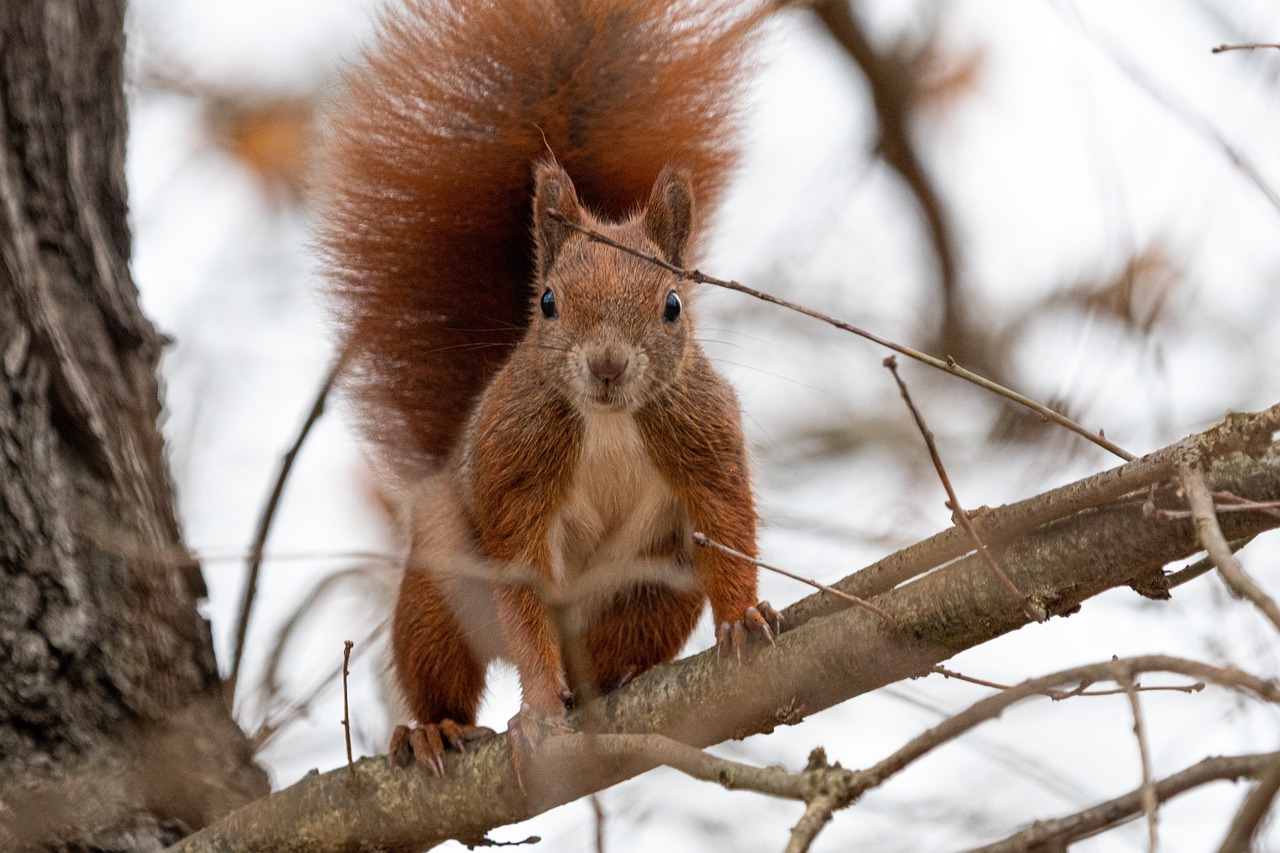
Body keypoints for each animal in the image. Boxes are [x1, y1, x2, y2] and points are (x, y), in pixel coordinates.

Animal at [317, 0, 778, 768]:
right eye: (549, 302)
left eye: (673, 304)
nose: (607, 365)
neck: (610, 419)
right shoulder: (517, 466)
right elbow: (523, 579)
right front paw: (534, 708)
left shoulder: (701, 431)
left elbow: (727, 517)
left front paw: (743, 617)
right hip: (440, 585)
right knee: (443, 660)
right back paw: (436, 728)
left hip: (658, 586)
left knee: (617, 642)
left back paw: (615, 676)